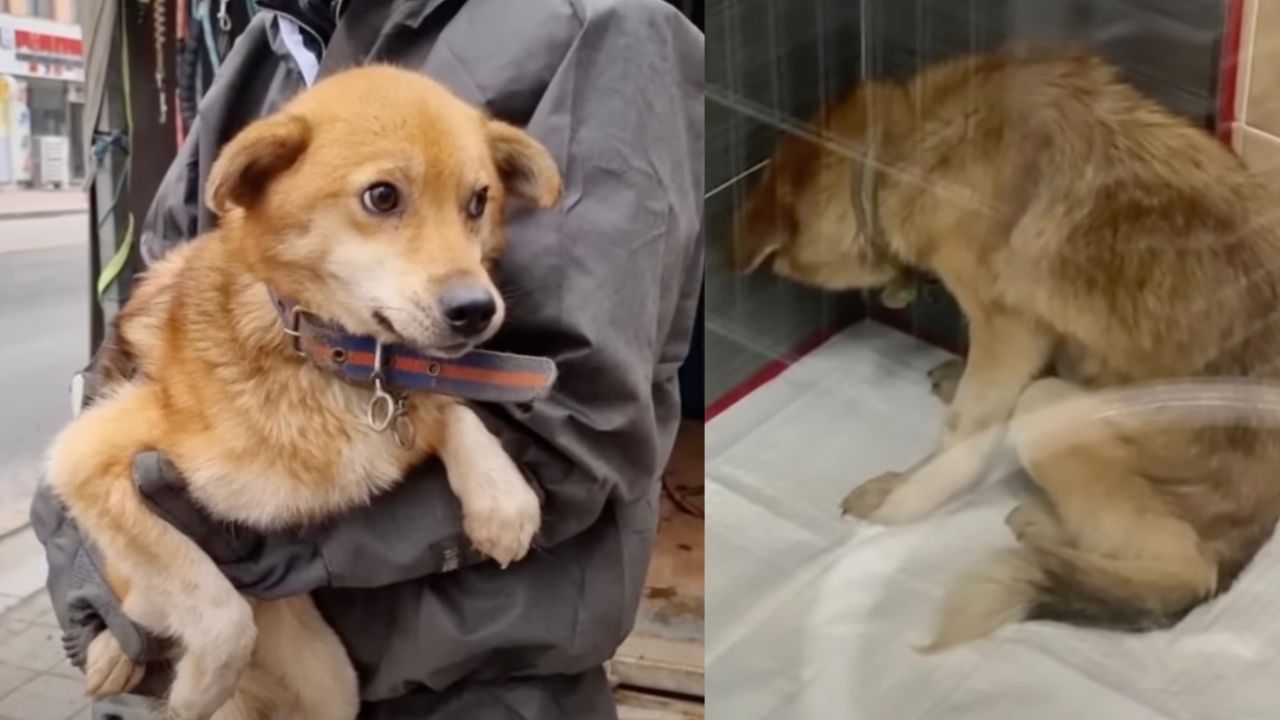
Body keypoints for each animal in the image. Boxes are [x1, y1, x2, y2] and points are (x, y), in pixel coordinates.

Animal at [43, 64, 560, 712]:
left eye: (478, 201)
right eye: (382, 196)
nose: (476, 311)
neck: (327, 354)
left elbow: (451, 405)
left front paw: (503, 500)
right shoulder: (89, 457)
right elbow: (219, 611)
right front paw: (194, 689)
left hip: (329, 680)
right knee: (150, 604)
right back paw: (119, 650)